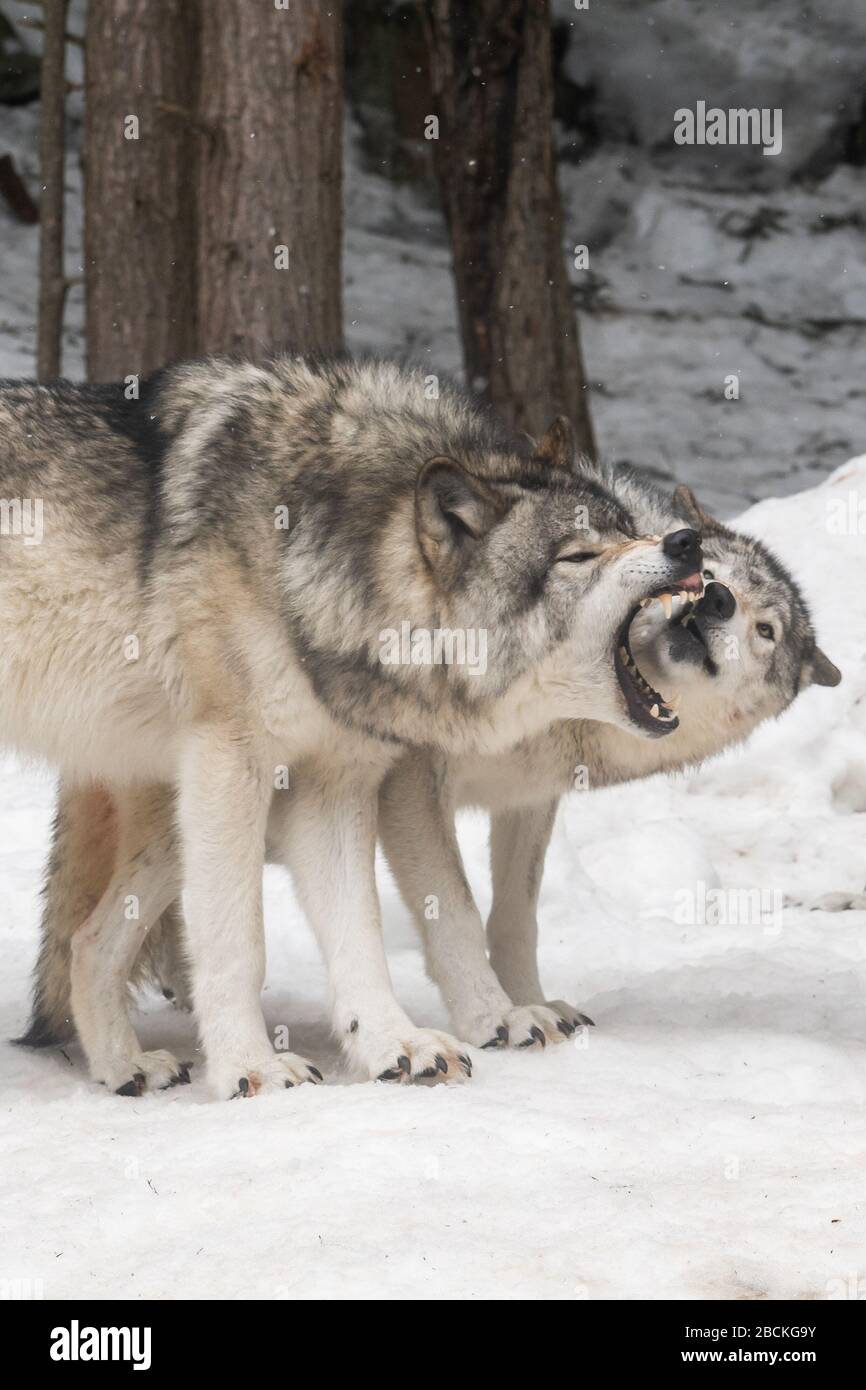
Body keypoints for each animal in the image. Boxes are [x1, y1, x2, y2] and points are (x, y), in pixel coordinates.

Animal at [3, 355, 700, 1095]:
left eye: (628, 527)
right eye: (578, 556)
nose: (686, 540)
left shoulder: (332, 783)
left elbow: (359, 933)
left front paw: (395, 1045)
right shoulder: (233, 762)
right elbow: (238, 943)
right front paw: (251, 1069)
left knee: (86, 941)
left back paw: (123, 1066)